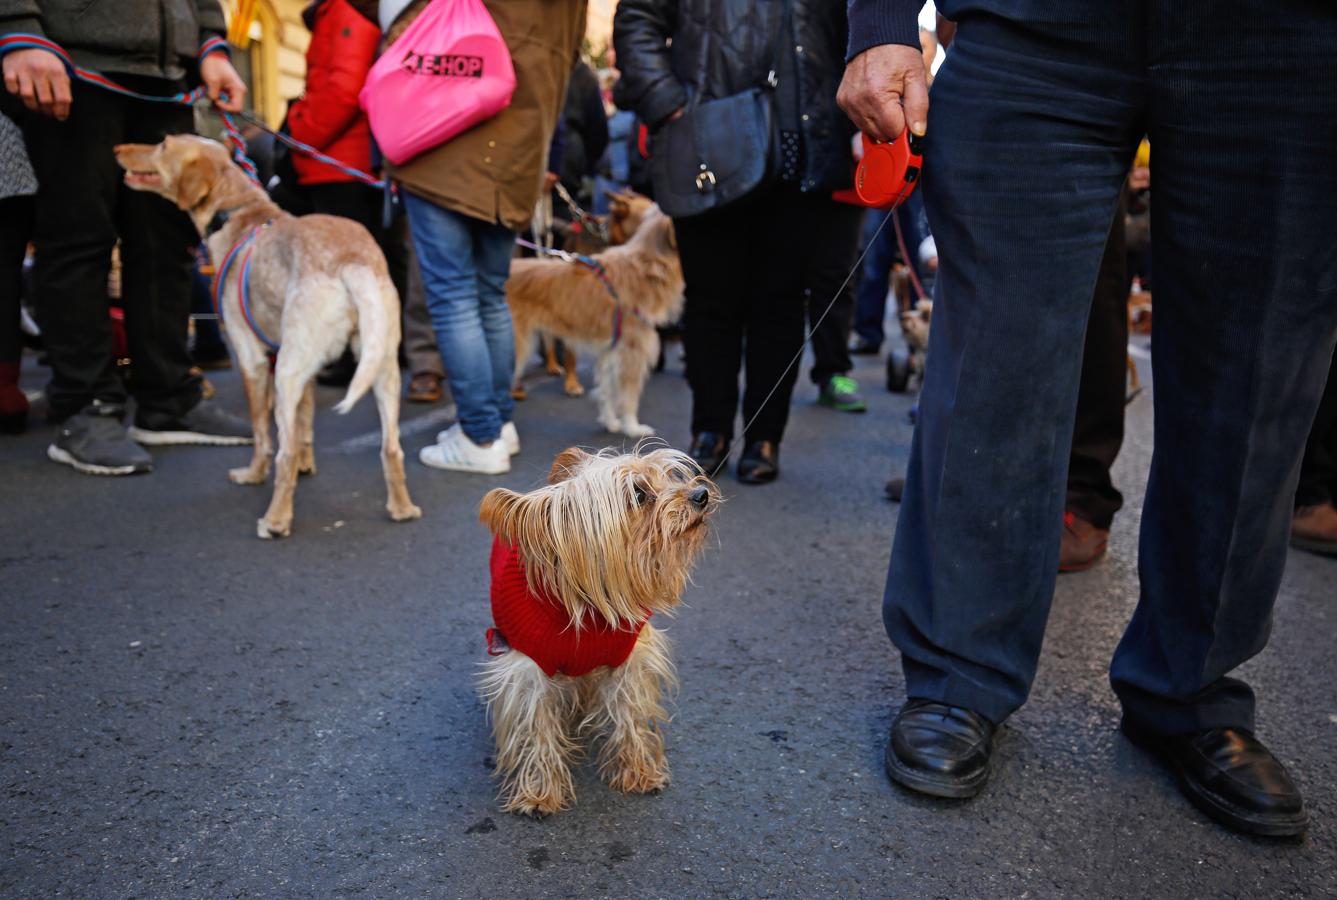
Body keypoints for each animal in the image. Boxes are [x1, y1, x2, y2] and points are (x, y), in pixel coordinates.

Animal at [114, 137, 419, 537]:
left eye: (163, 144)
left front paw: (253, 474)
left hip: (286, 373)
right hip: (381, 368)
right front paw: (307, 463)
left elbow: (262, 434)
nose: (118, 150)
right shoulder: (306, 369)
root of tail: (352, 259)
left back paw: (275, 519)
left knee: (282, 453)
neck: (238, 212)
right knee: (391, 447)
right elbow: (305, 423)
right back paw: (401, 508)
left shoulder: (253, 361)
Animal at [475, 443, 716, 813]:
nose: (700, 494)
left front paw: (638, 771)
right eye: (639, 494)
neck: (588, 607)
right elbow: (536, 727)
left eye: (667, 475)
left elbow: (630, 713)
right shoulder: (528, 674)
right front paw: (540, 791)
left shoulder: (628, 662)